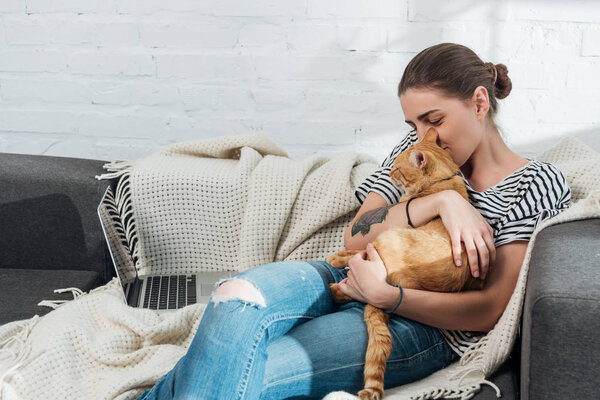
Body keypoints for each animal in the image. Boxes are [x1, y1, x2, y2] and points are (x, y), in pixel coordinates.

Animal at [328, 126, 488, 398]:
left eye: (398, 168)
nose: (390, 172)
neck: (443, 182)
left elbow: (357, 249)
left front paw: (338, 258)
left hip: (387, 237)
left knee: (353, 269)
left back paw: (336, 278)